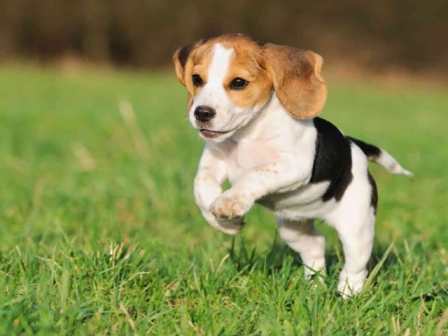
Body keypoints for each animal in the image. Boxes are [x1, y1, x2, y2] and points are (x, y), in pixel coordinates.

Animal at [173, 34, 412, 296]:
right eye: (197, 79)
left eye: (238, 83)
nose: (201, 113)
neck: (247, 133)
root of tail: (352, 144)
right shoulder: (213, 161)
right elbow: (201, 185)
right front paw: (226, 223)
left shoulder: (294, 165)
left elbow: (255, 173)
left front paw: (230, 202)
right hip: (293, 230)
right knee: (315, 246)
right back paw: (314, 288)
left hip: (356, 228)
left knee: (356, 266)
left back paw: (347, 294)